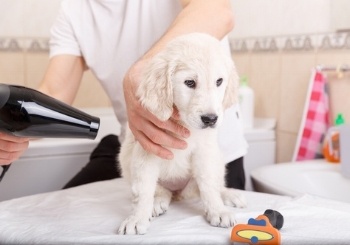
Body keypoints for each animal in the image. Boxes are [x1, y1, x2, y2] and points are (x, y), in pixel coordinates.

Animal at [117, 33, 246, 235]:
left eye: (219, 81)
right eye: (189, 82)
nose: (210, 119)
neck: (184, 123)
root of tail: (179, 194)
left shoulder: (204, 153)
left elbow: (208, 186)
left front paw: (217, 211)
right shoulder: (146, 151)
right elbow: (143, 190)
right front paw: (137, 218)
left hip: (217, 161)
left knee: (214, 185)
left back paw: (229, 195)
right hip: (127, 163)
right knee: (160, 191)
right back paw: (157, 202)